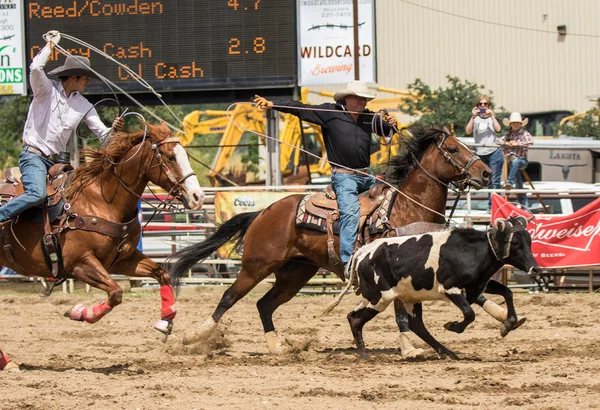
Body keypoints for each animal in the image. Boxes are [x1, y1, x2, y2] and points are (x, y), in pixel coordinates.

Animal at [0, 121, 204, 372]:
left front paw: (165, 321)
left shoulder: (123, 260)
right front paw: (79, 312)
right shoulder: (80, 264)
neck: (101, 201)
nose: (198, 196)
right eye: (170, 157)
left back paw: (7, 362)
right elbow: (116, 293)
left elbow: (161, 274)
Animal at [169, 126, 506, 358]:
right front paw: (409, 349)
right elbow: (404, 316)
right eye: (453, 149)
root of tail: (264, 211)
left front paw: (501, 317)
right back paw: (193, 337)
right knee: (229, 297)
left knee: (264, 305)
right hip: (256, 266)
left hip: (294, 273)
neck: (405, 210)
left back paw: (277, 347)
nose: (486, 173)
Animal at [324, 215, 540, 358]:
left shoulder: (478, 285)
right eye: (516, 244)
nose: (535, 268)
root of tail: (363, 252)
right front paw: (453, 326)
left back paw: (447, 352)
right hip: (380, 297)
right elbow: (469, 313)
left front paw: (508, 323)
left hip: (403, 297)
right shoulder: (450, 288)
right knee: (355, 319)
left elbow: (507, 292)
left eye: (529, 242)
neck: (473, 251)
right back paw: (363, 354)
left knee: (415, 325)